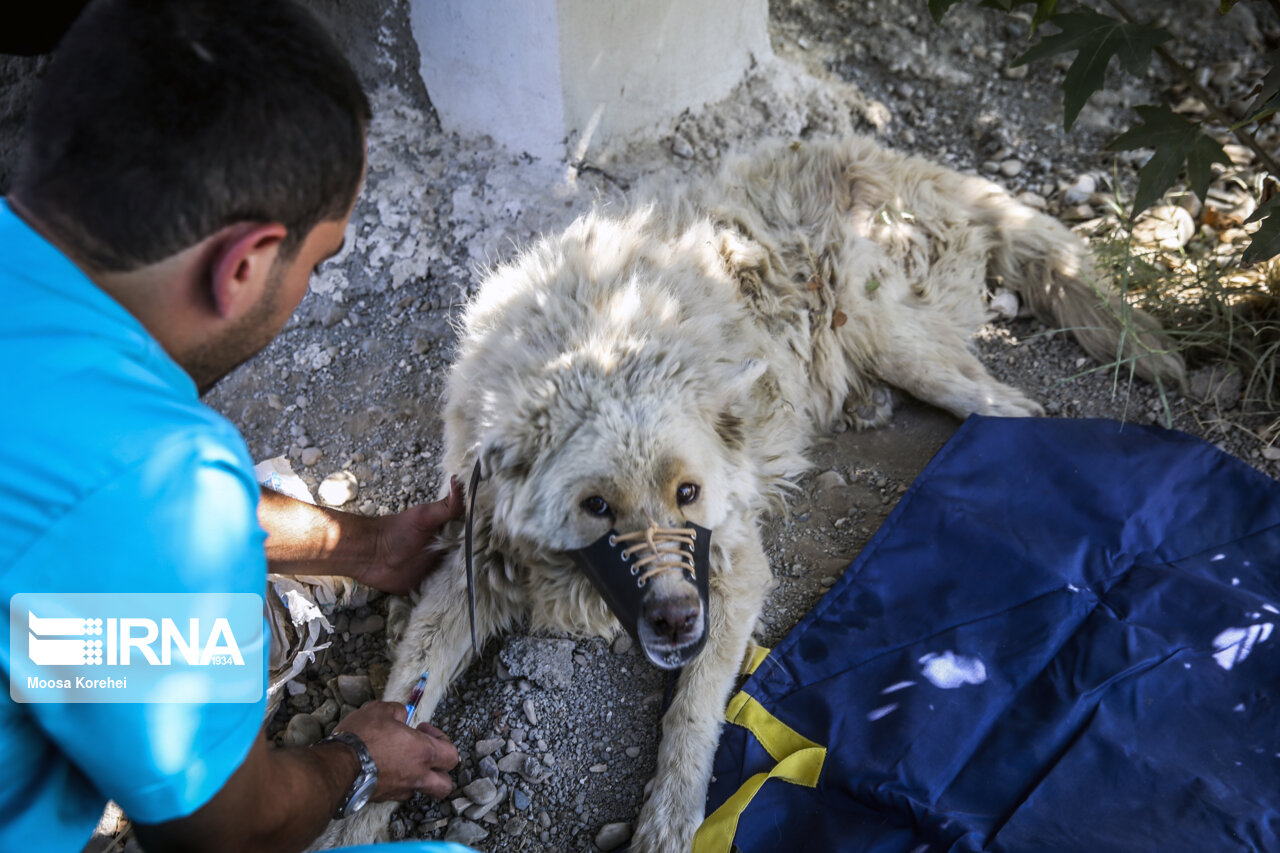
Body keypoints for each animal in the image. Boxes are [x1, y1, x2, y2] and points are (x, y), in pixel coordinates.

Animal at [317, 136, 1177, 845]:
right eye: (597, 506)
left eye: (689, 492)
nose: (673, 616)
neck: (603, 343)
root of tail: (889, 155)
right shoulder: (468, 566)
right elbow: (406, 691)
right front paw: (358, 813)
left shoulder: (732, 569)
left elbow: (693, 712)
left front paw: (669, 820)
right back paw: (861, 405)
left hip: (899, 338)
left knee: (1012, 408)